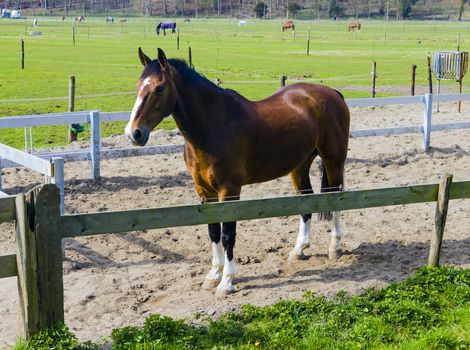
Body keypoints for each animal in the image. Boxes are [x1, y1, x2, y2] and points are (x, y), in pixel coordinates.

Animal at [125, 47, 348, 296]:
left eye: (159, 88)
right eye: (138, 86)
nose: (134, 133)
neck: (214, 126)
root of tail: (332, 93)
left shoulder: (229, 191)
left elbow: (228, 235)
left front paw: (227, 281)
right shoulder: (205, 192)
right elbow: (213, 232)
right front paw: (213, 275)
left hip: (334, 160)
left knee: (337, 198)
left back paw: (335, 247)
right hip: (299, 166)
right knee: (306, 200)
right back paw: (299, 249)